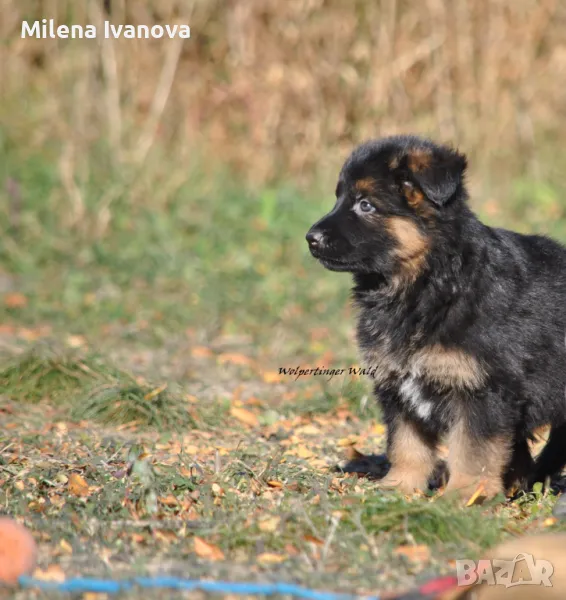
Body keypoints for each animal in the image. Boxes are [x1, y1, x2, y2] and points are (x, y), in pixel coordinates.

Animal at [308, 136, 566, 496]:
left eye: (366, 205)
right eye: (339, 199)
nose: (311, 239)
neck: (430, 280)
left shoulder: (483, 389)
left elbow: (473, 451)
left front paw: (464, 497)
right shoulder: (398, 385)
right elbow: (407, 444)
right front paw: (399, 487)